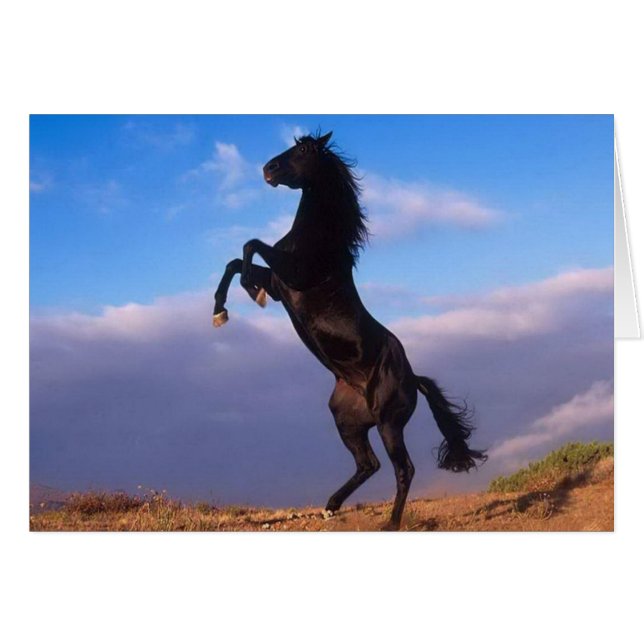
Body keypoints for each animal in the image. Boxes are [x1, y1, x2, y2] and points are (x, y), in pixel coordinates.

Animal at [212, 131, 487, 530]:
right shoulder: (280, 285)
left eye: (304, 150)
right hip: (347, 421)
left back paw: (389, 523)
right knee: (368, 464)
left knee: (403, 469)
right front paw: (220, 311)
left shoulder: (293, 275)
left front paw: (248, 291)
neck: (319, 240)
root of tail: (413, 378)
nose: (268, 169)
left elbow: (251, 246)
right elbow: (235, 261)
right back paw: (330, 507)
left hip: (389, 424)